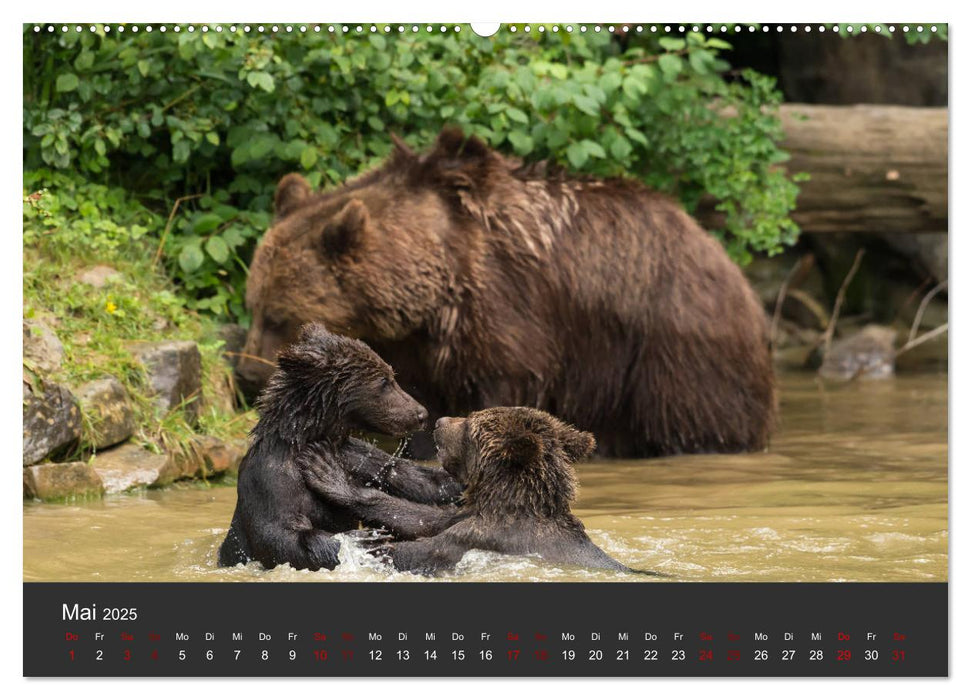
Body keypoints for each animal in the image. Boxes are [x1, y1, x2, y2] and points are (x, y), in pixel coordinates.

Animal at [239, 128, 780, 456]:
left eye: (280, 317)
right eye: (254, 307)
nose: (247, 373)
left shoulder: (504, 307)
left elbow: (505, 383)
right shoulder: (415, 343)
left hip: (672, 340)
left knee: (696, 414)